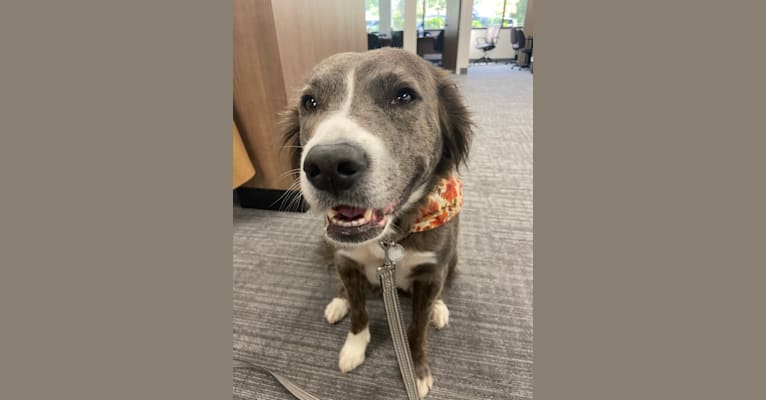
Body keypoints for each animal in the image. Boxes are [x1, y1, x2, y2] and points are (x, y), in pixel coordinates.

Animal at [282, 47, 474, 396]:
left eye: (404, 95)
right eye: (310, 102)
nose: (327, 165)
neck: (388, 239)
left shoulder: (431, 273)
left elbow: (417, 328)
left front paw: (416, 370)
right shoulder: (345, 260)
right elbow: (359, 312)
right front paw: (354, 347)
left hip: (451, 261)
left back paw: (439, 309)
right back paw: (339, 302)